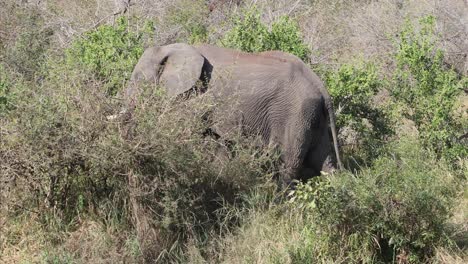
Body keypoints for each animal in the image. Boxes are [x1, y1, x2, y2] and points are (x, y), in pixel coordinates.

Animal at [116, 42, 344, 188]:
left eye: (137, 79)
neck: (171, 48)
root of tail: (321, 87)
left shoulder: (195, 96)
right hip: (314, 118)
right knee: (325, 163)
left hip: (296, 115)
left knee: (289, 164)